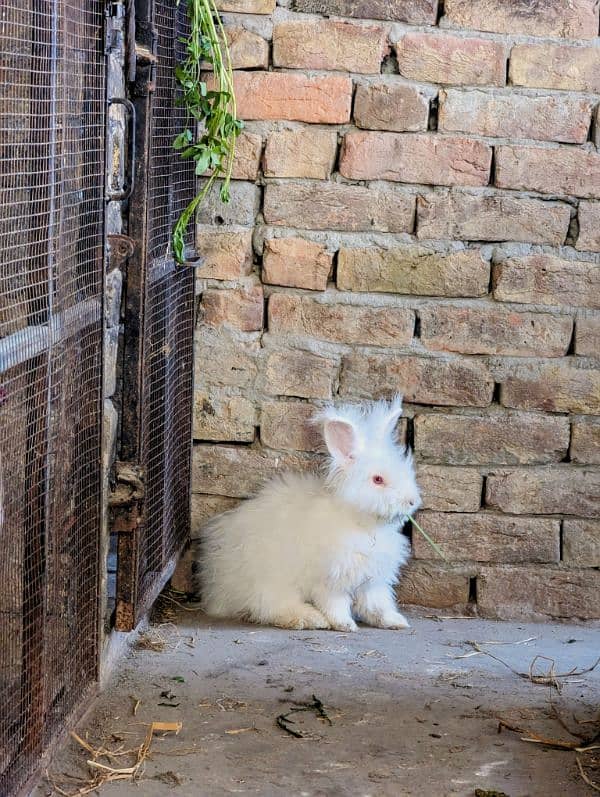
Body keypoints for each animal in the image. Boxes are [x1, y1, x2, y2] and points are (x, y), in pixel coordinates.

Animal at [198, 394, 422, 632]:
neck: (364, 524)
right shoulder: (330, 579)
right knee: (271, 608)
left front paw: (396, 622)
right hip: (273, 583)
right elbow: (335, 604)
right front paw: (345, 625)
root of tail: (216, 590)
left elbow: (377, 604)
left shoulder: (372, 580)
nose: (412, 501)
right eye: (378, 479)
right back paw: (311, 618)